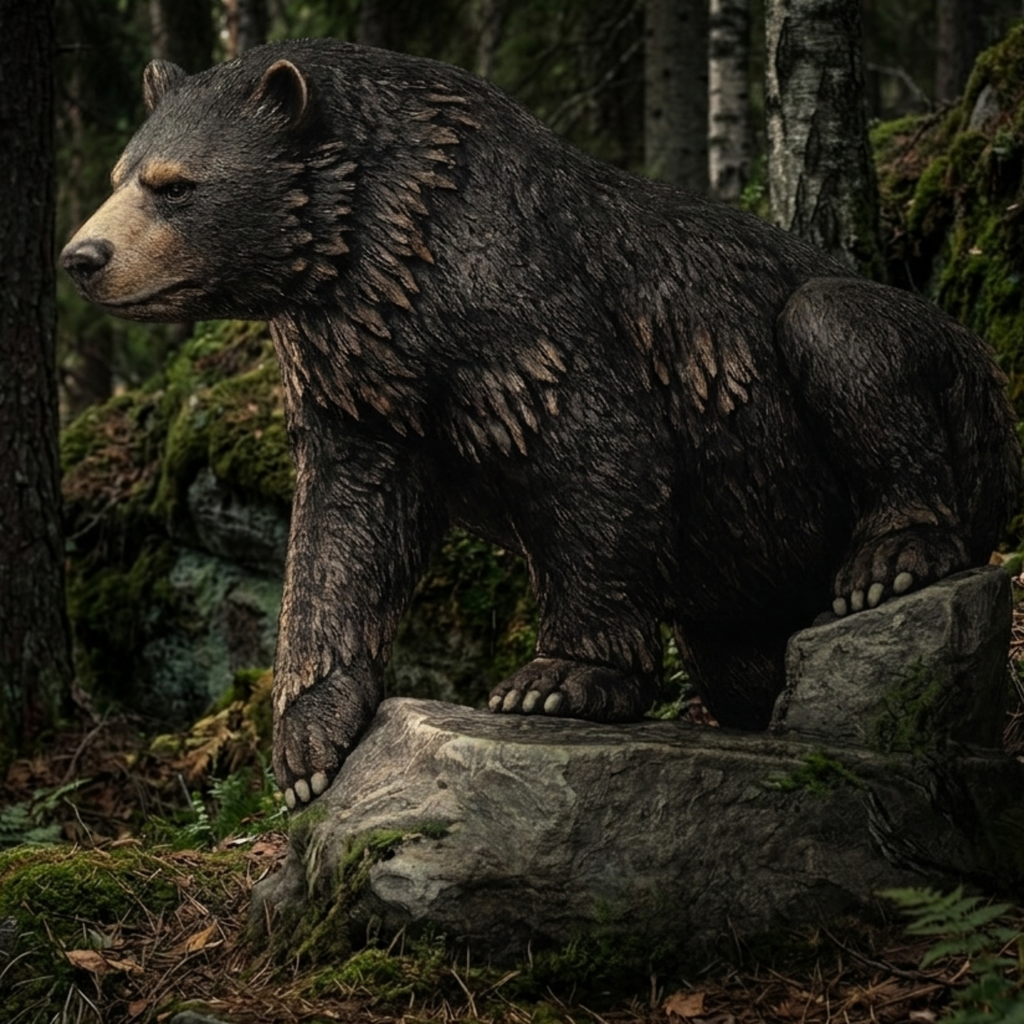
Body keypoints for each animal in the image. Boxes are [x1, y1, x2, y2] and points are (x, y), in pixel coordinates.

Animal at [61, 40, 1022, 810]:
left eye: (175, 185)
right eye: (119, 176)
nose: (80, 257)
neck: (384, 257)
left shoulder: (523, 316)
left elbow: (598, 456)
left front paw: (553, 679)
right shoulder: (361, 378)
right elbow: (343, 532)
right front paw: (306, 748)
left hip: (943, 388)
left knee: (839, 332)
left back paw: (891, 561)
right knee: (739, 655)